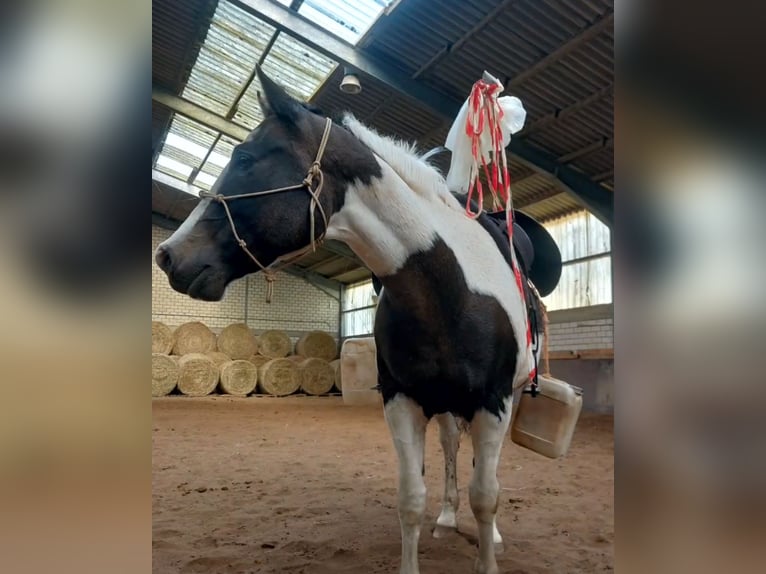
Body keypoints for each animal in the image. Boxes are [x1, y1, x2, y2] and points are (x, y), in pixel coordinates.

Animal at [155, 67, 554, 574]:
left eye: (244, 158)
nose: (168, 255)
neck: (448, 289)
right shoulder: (402, 401)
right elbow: (411, 499)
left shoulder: (493, 403)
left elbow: (487, 496)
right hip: (445, 406)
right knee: (449, 448)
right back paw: (447, 517)